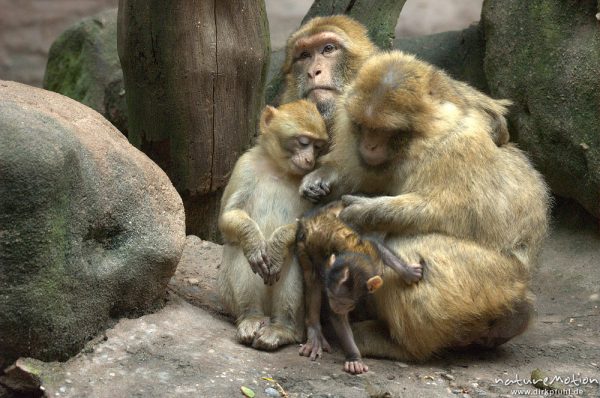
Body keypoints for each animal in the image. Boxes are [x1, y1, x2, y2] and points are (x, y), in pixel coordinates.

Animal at [217, 100, 328, 352]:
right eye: (303, 142)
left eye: (318, 147)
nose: (310, 160)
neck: (279, 169)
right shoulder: (245, 166)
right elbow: (227, 217)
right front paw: (254, 241)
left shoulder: (313, 183)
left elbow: (313, 225)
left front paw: (276, 248)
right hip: (227, 296)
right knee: (240, 251)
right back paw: (251, 318)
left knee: (294, 255)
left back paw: (282, 329)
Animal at [296, 202, 422, 374]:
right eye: (331, 297)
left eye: (345, 303)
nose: (335, 306)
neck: (351, 252)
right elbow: (339, 319)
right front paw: (354, 358)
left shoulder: (373, 257)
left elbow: (378, 247)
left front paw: (408, 272)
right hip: (302, 245)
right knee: (311, 277)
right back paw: (315, 330)